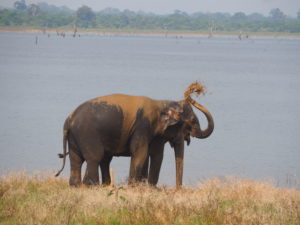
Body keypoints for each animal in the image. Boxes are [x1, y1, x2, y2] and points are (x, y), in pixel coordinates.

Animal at [54, 81, 213, 187]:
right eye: (192, 121)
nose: (194, 89)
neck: (161, 103)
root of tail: (68, 120)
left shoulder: (155, 133)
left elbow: (154, 155)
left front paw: (148, 187)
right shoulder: (142, 126)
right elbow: (141, 154)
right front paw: (135, 187)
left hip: (75, 138)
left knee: (78, 160)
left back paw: (80, 186)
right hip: (87, 134)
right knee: (95, 158)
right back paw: (93, 187)